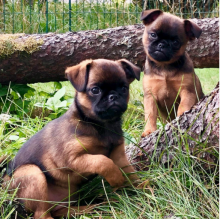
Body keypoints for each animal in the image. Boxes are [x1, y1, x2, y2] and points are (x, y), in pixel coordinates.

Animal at [1, 58, 140, 219]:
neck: (101, 125)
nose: (114, 96)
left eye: (124, 88)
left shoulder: (118, 155)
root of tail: (3, 185)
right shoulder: (71, 159)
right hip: (32, 172)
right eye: (95, 90)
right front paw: (116, 178)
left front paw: (142, 187)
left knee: (63, 210)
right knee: (42, 214)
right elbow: (102, 161)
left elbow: (130, 171)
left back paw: (95, 207)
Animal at [141, 9, 205, 137]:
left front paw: (180, 118)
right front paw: (149, 130)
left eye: (175, 42)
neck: (164, 67)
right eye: (153, 35)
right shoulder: (150, 96)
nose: (162, 44)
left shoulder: (187, 91)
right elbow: (150, 115)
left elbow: (183, 106)